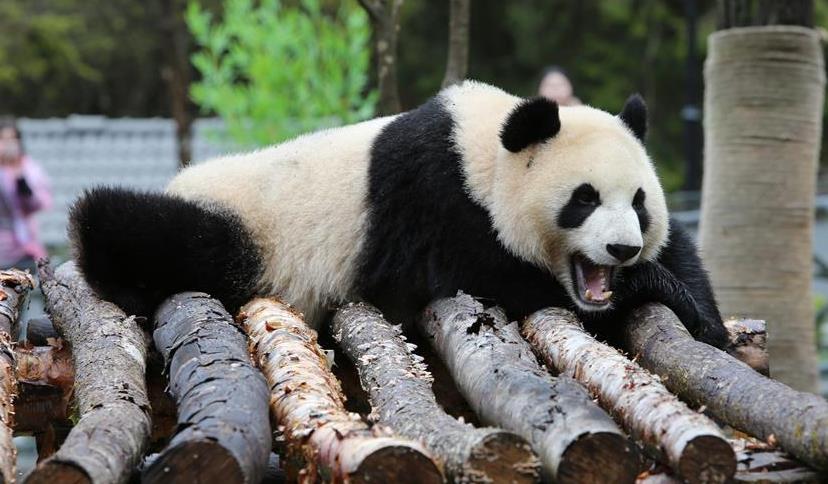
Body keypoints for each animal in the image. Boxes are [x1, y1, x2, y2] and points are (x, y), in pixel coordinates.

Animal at [73, 81, 732, 346]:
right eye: (584, 199)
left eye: (640, 204)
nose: (622, 250)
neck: (480, 152)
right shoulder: (428, 202)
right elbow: (474, 276)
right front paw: (648, 286)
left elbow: (687, 255)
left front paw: (702, 317)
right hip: (240, 224)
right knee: (124, 223)